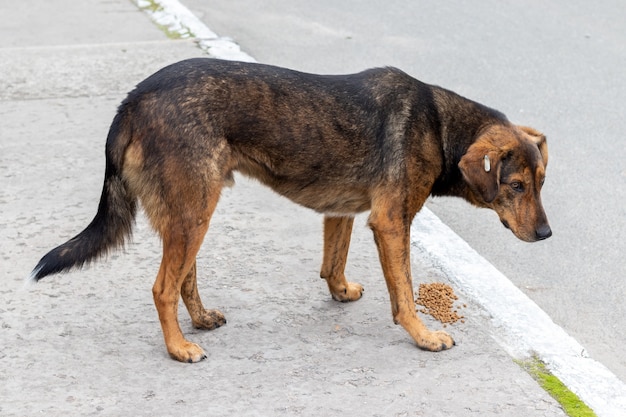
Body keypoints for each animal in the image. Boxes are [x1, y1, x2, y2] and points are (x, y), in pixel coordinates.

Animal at [29, 57, 548, 360]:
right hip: (194, 211)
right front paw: (423, 336)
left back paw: (199, 321)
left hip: (190, 210)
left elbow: (333, 263)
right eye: (516, 186)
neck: (440, 125)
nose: (546, 236)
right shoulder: (391, 224)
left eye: (542, 183)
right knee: (162, 288)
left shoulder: (343, 212)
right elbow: (404, 293)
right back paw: (178, 347)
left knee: (183, 279)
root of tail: (132, 101)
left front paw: (341, 291)